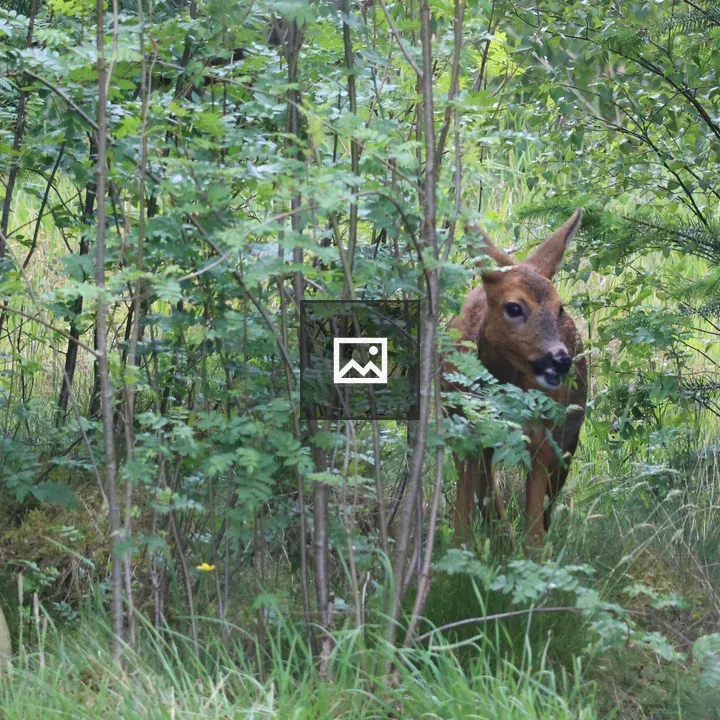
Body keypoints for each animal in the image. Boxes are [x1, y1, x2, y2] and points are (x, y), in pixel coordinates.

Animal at [445, 209, 587, 547]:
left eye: (559, 308)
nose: (560, 360)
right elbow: (461, 524)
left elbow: (534, 532)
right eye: (513, 307)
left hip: (569, 431)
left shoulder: (543, 436)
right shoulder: (463, 432)